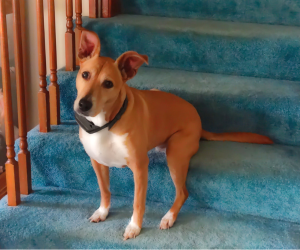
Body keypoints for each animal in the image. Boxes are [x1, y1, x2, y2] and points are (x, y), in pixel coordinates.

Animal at [74, 29, 274, 240]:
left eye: (108, 84)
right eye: (85, 74)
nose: (83, 104)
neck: (105, 124)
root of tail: (199, 121)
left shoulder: (139, 167)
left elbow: (138, 202)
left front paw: (134, 227)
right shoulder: (97, 162)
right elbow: (104, 190)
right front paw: (102, 212)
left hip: (176, 154)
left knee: (182, 193)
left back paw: (169, 217)